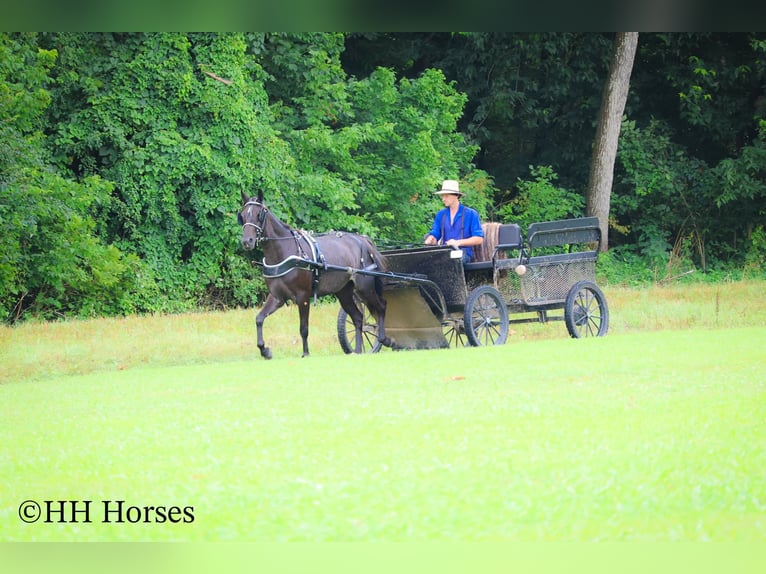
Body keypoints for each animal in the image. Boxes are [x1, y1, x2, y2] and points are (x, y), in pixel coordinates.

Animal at [238, 190, 391, 359]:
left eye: (259, 214)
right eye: (242, 215)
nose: (247, 241)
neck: (285, 251)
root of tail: (363, 240)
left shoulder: (303, 296)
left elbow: (303, 328)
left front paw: (305, 353)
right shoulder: (277, 297)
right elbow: (259, 319)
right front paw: (265, 350)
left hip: (365, 289)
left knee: (381, 306)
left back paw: (383, 339)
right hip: (344, 292)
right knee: (358, 318)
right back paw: (357, 351)